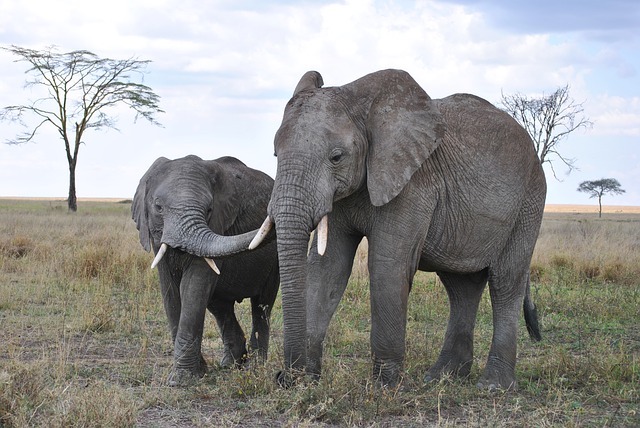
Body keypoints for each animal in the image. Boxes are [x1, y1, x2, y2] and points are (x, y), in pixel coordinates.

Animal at [132, 155, 278, 386]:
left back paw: (254, 368)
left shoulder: (217, 224)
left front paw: (182, 380)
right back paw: (230, 364)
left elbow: (193, 286)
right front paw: (196, 373)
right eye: (158, 207)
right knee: (220, 306)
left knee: (262, 304)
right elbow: (170, 291)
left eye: (209, 210)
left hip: (275, 262)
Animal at [245, 67, 544, 392]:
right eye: (276, 155)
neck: (363, 107)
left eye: (336, 157)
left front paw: (384, 387)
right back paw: (442, 377)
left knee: (505, 281)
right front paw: (307, 380)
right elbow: (327, 267)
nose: (283, 376)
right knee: (461, 287)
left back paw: (493, 386)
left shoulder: (412, 184)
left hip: (529, 200)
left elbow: (386, 266)